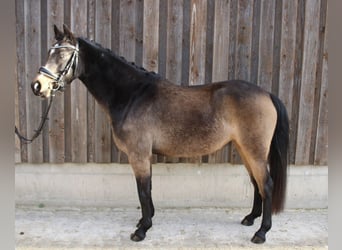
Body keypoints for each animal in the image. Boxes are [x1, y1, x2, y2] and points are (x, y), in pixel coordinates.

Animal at [30, 25, 288, 244]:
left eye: (63, 56)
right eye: (49, 52)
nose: (38, 86)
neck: (132, 95)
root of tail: (266, 94)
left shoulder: (138, 155)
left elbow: (143, 191)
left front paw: (142, 230)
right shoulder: (144, 156)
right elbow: (148, 189)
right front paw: (146, 220)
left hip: (254, 151)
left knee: (266, 185)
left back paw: (261, 232)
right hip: (245, 149)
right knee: (256, 183)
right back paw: (250, 218)